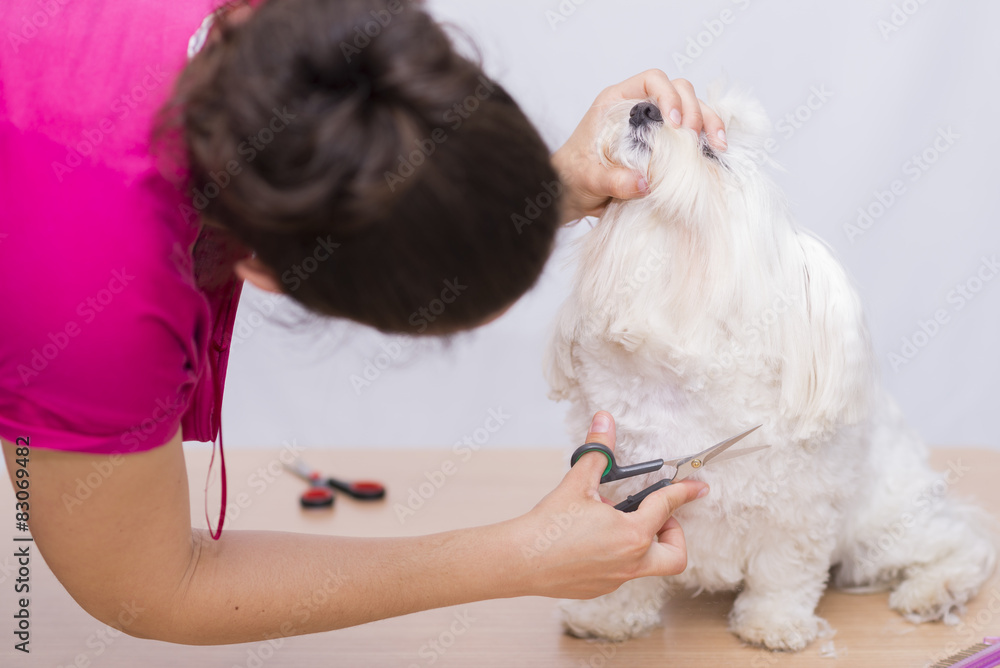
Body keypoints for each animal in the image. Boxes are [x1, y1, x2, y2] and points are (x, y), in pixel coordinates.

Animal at [544, 86, 996, 648]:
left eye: (710, 152)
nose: (644, 107)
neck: (681, 374)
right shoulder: (622, 494)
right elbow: (629, 574)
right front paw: (607, 616)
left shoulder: (800, 517)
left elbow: (785, 573)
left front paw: (772, 624)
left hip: (883, 528)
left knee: (964, 542)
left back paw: (934, 589)